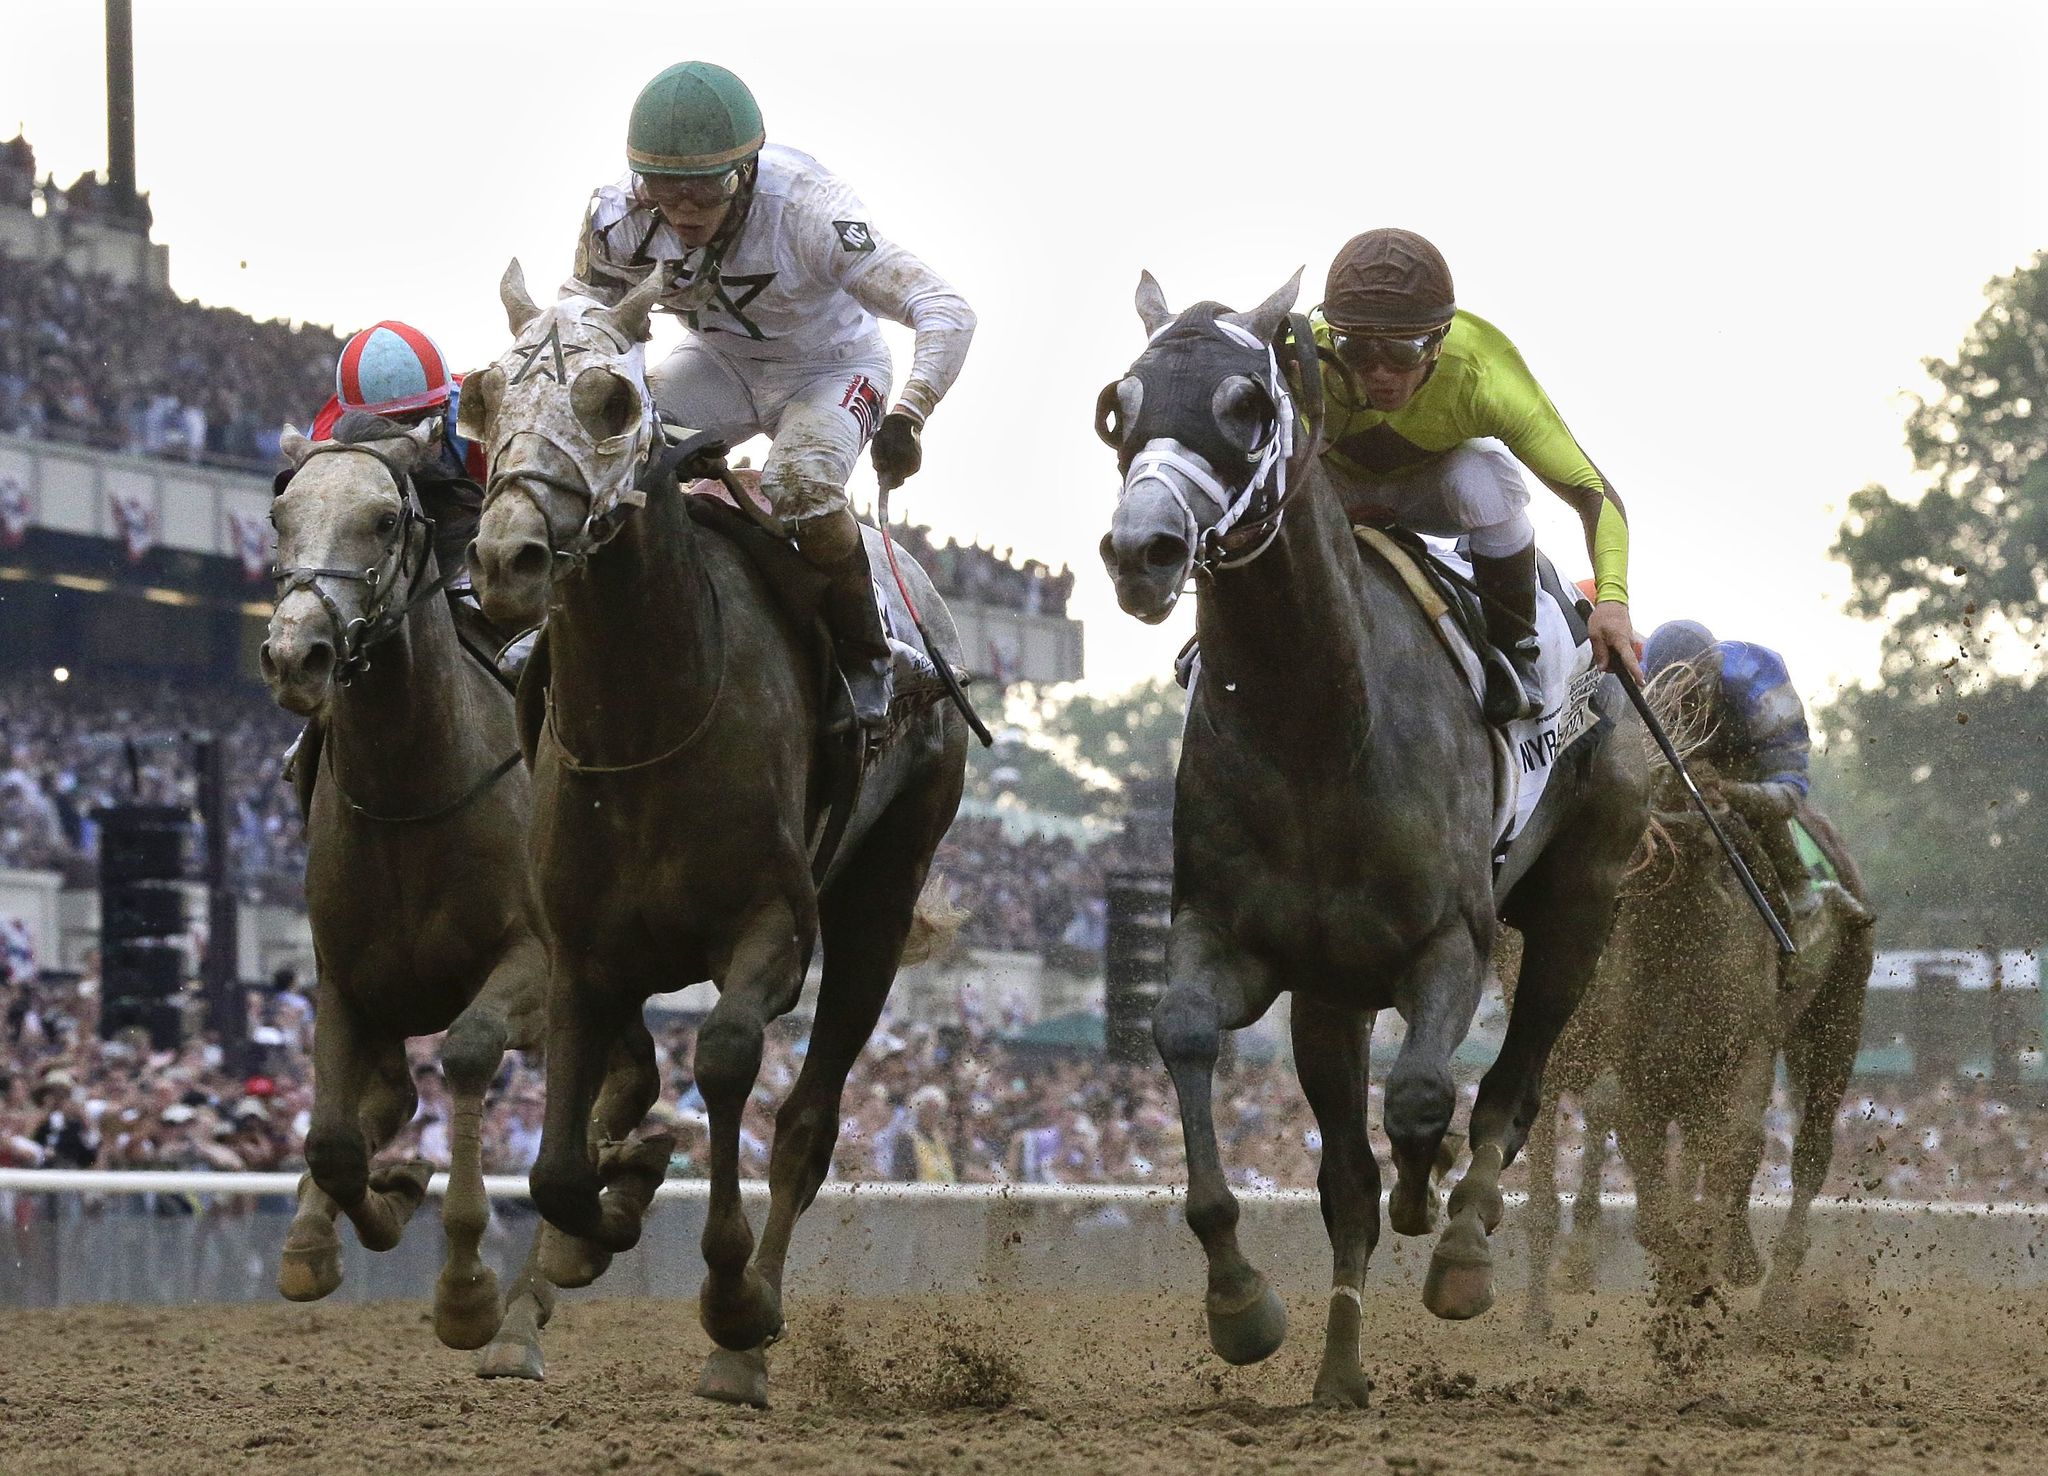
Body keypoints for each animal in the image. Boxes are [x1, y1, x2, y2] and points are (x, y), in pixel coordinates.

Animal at [262, 417, 577, 1383]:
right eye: (280, 513)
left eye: (383, 521)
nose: (294, 654)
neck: (414, 787)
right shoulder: (344, 980)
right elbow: (333, 1141)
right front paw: (373, 1206)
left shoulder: (532, 965)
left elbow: (468, 1053)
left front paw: (468, 1291)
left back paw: (526, 1310)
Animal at [464, 262, 966, 1408]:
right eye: (480, 398)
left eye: (611, 400)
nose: (508, 556)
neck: (651, 717)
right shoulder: (581, 954)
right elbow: (561, 1163)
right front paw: (597, 1222)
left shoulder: (771, 930)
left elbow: (729, 1057)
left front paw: (733, 1299)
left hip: (878, 900)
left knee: (808, 1120)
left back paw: (746, 1342)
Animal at [1097, 274, 1654, 1408]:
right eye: (1116, 408)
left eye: (1244, 406)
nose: (1142, 552)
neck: (1316, 727)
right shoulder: (1238, 941)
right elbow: (1185, 1037)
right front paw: (1241, 1305)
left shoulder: (1453, 942)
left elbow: (1425, 1094)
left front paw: (1439, 1214)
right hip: (1332, 991)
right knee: (1352, 1172)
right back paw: (1341, 1368)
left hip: (1580, 904)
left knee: (1512, 1085)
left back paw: (1463, 1239)